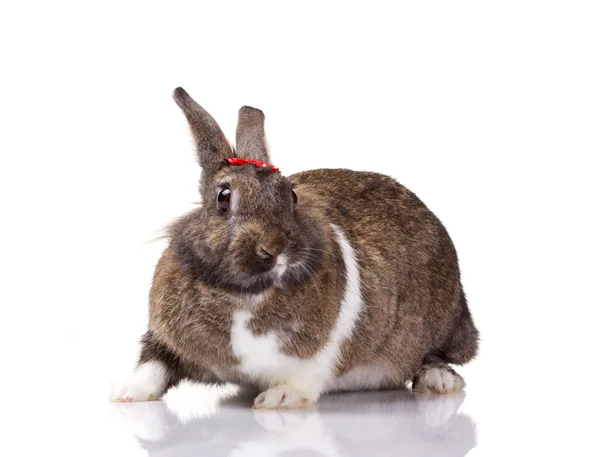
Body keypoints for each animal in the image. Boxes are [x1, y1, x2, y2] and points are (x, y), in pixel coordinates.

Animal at [110, 87, 480, 408]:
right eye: (224, 197)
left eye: (291, 196)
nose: (275, 247)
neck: (244, 294)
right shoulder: (164, 339)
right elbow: (153, 364)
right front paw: (125, 393)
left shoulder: (317, 356)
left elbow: (303, 377)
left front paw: (278, 399)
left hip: (445, 324)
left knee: (435, 355)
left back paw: (439, 381)